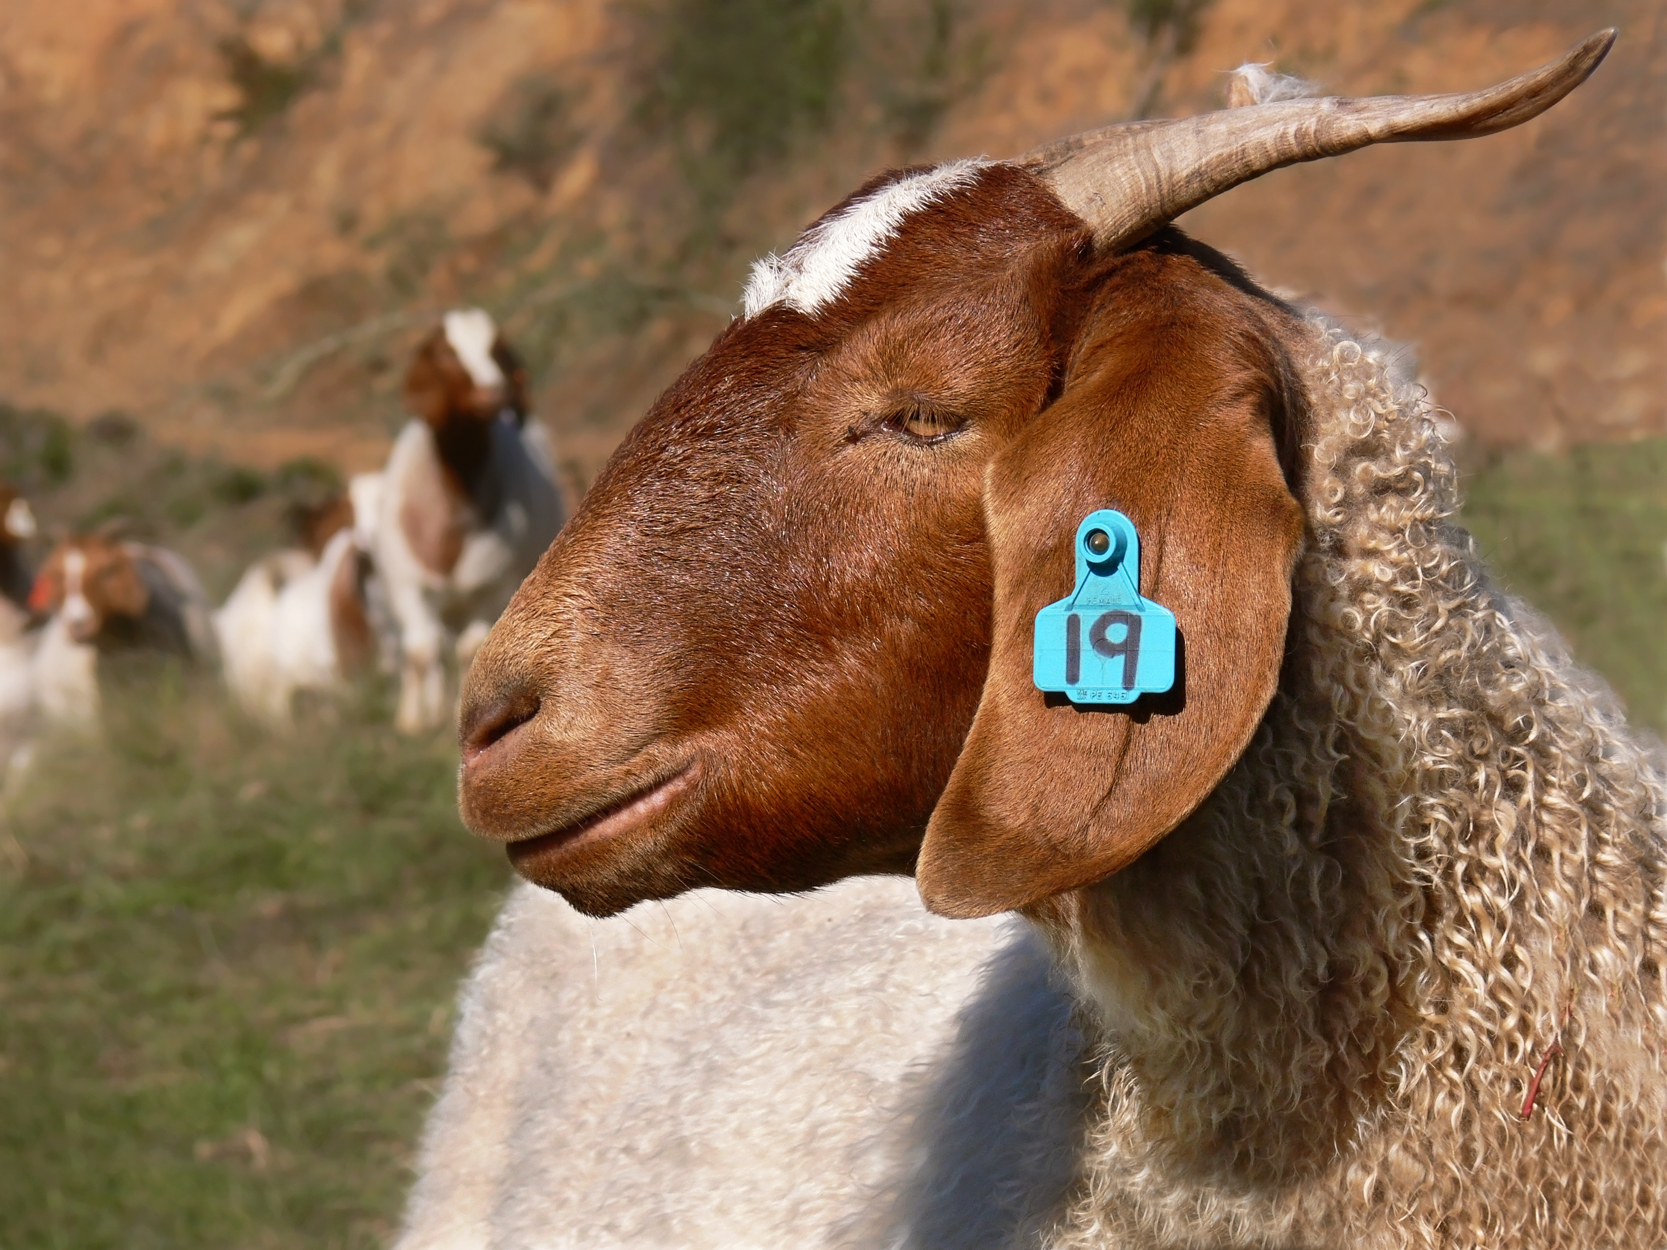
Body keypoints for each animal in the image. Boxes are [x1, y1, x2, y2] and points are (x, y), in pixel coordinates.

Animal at [370, 309, 565, 733]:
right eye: (446, 354)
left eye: (497, 350)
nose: (493, 394)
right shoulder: (407, 585)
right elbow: (420, 651)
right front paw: (414, 722)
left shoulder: (492, 589)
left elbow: (468, 650)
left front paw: (455, 719)